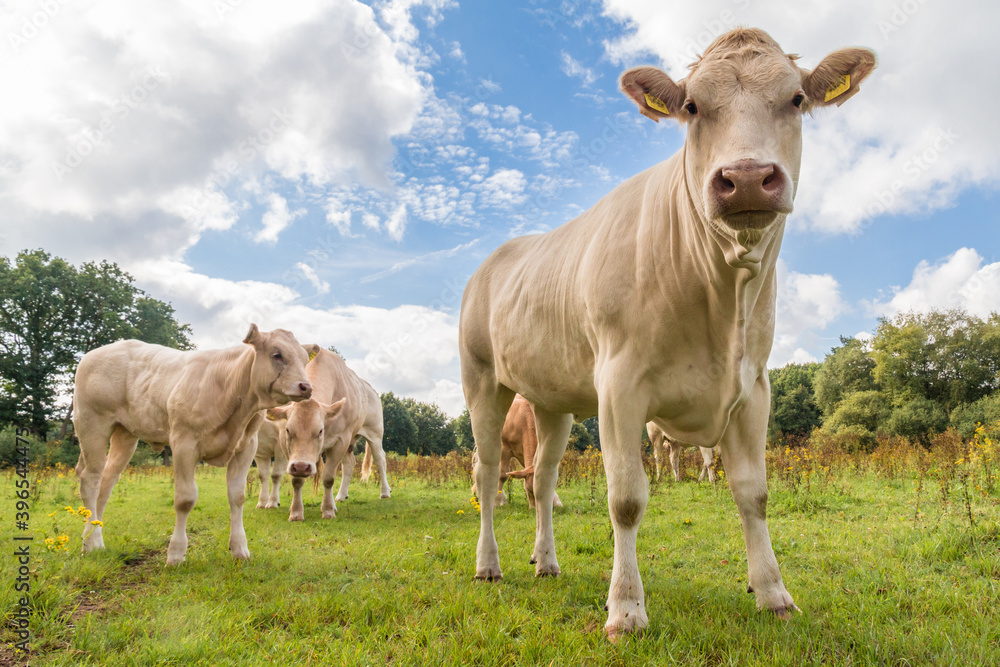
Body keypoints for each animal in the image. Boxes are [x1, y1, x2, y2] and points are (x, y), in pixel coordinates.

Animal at [74, 326, 312, 568]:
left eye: (304, 359)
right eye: (277, 355)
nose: (306, 387)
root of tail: (95, 353)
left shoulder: (246, 447)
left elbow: (237, 496)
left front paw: (239, 548)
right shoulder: (183, 442)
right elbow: (185, 499)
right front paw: (176, 553)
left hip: (125, 434)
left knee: (107, 481)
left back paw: (94, 536)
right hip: (92, 424)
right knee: (90, 480)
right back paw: (91, 542)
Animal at [266, 344, 390, 520]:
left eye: (320, 431)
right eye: (289, 429)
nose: (302, 466)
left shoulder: (341, 440)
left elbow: (329, 478)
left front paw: (328, 510)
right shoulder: (285, 444)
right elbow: (296, 480)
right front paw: (296, 512)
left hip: (375, 434)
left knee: (380, 459)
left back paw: (385, 492)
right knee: (349, 463)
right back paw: (340, 496)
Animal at [460, 28, 876, 640]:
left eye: (797, 99)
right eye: (693, 107)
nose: (746, 178)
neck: (720, 302)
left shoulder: (754, 387)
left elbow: (754, 493)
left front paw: (773, 593)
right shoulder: (618, 386)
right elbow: (627, 499)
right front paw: (626, 609)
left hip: (551, 400)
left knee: (542, 478)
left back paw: (546, 561)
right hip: (482, 381)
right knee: (488, 473)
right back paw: (489, 565)